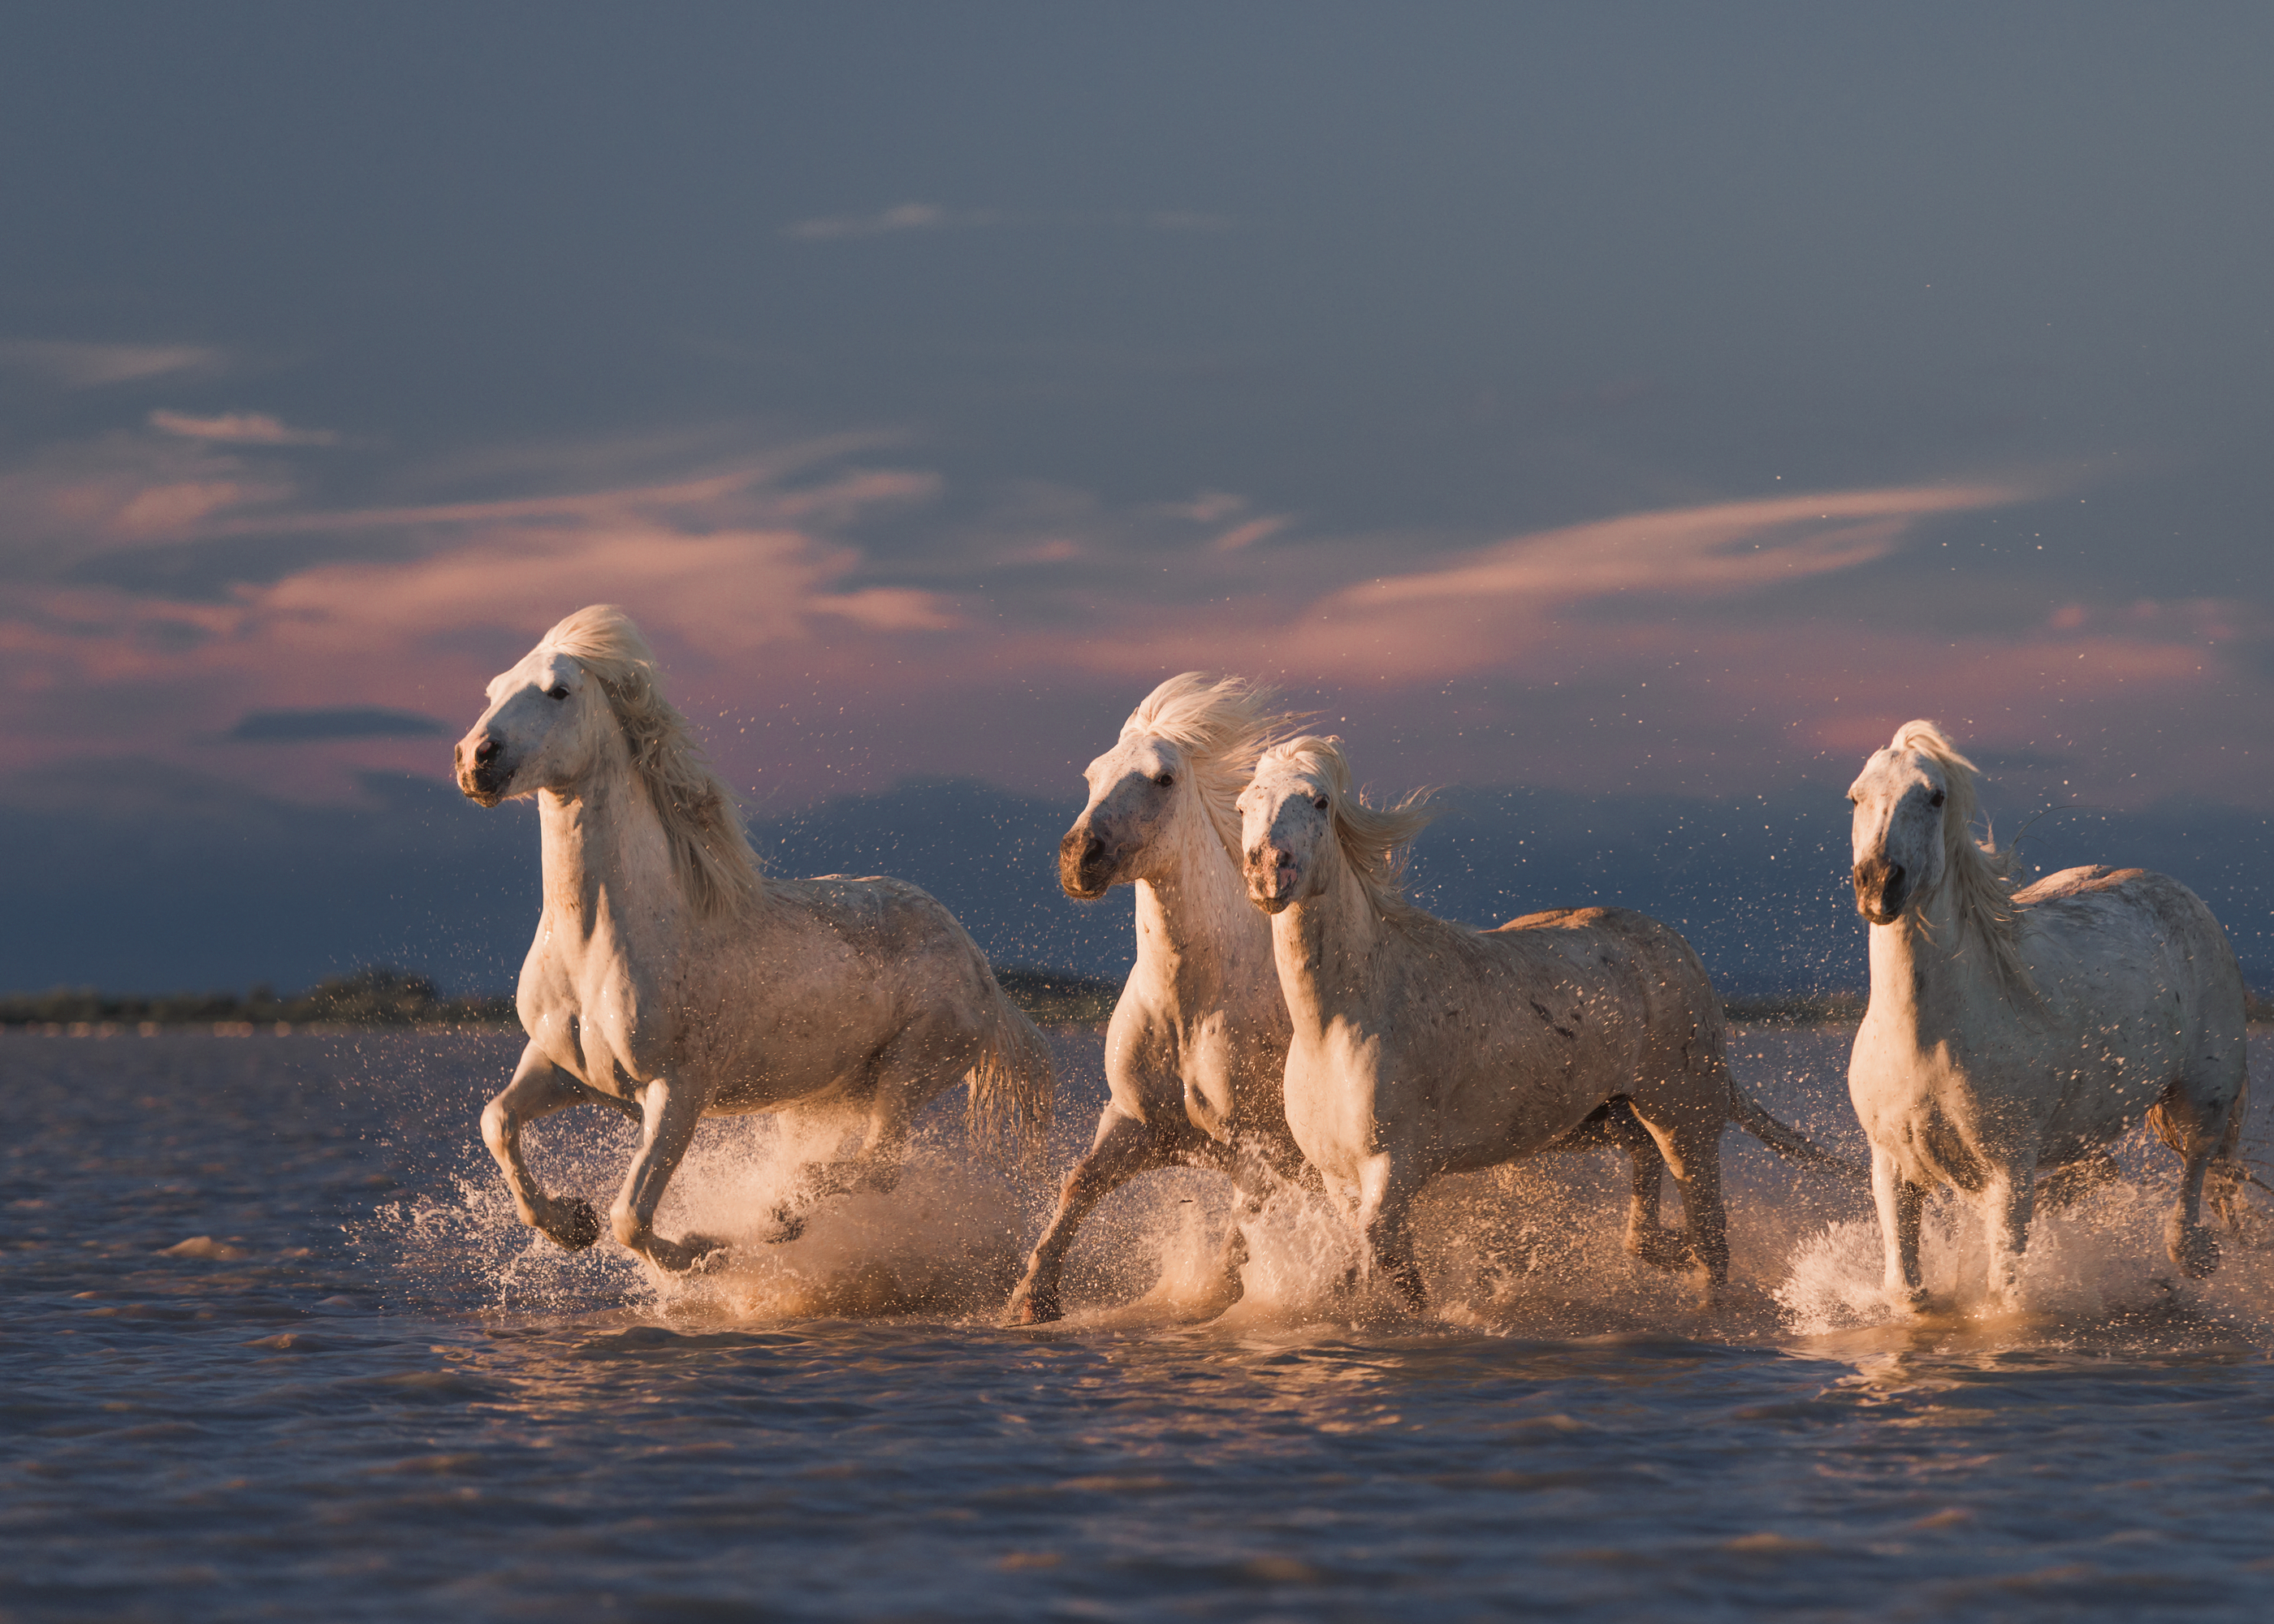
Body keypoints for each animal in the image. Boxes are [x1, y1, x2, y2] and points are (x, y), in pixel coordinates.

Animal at [453, 605, 1053, 1273]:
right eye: (493, 690)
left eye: (559, 690)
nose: (475, 760)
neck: (596, 948)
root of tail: (978, 963)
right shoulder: (563, 1069)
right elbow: (497, 1120)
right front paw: (569, 1222)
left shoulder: (677, 1091)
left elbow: (631, 1216)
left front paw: (700, 1251)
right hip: (829, 1095)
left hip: (911, 1069)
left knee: (880, 1165)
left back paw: (783, 1212)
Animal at [1004, 673, 1301, 1326]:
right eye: (1092, 773)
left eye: (1163, 778)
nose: (1078, 856)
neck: (1192, 1008)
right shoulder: (1137, 1124)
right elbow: (1078, 1185)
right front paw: (1031, 1300)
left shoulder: (1261, 1146)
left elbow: (1244, 1225)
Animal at [1236, 735, 1850, 1310]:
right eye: (1245, 805)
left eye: (1319, 801)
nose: (1268, 871)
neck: (1341, 1023)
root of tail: (1678, 949)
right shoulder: (1339, 1179)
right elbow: (1398, 1275)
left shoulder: (1395, 1168)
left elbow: (1370, 1263)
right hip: (1598, 1120)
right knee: (1649, 1174)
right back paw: (1660, 1249)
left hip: (1685, 1119)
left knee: (1712, 1238)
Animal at [1846, 719, 2250, 1310]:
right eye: (1856, 796)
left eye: (1934, 796)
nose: (1879, 884)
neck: (1927, 1038)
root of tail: (2181, 894)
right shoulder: (1893, 1165)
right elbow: (1906, 1290)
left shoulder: (2010, 1169)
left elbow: (2003, 1292)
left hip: (2203, 1093)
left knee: (2197, 1163)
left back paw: (2193, 1255)